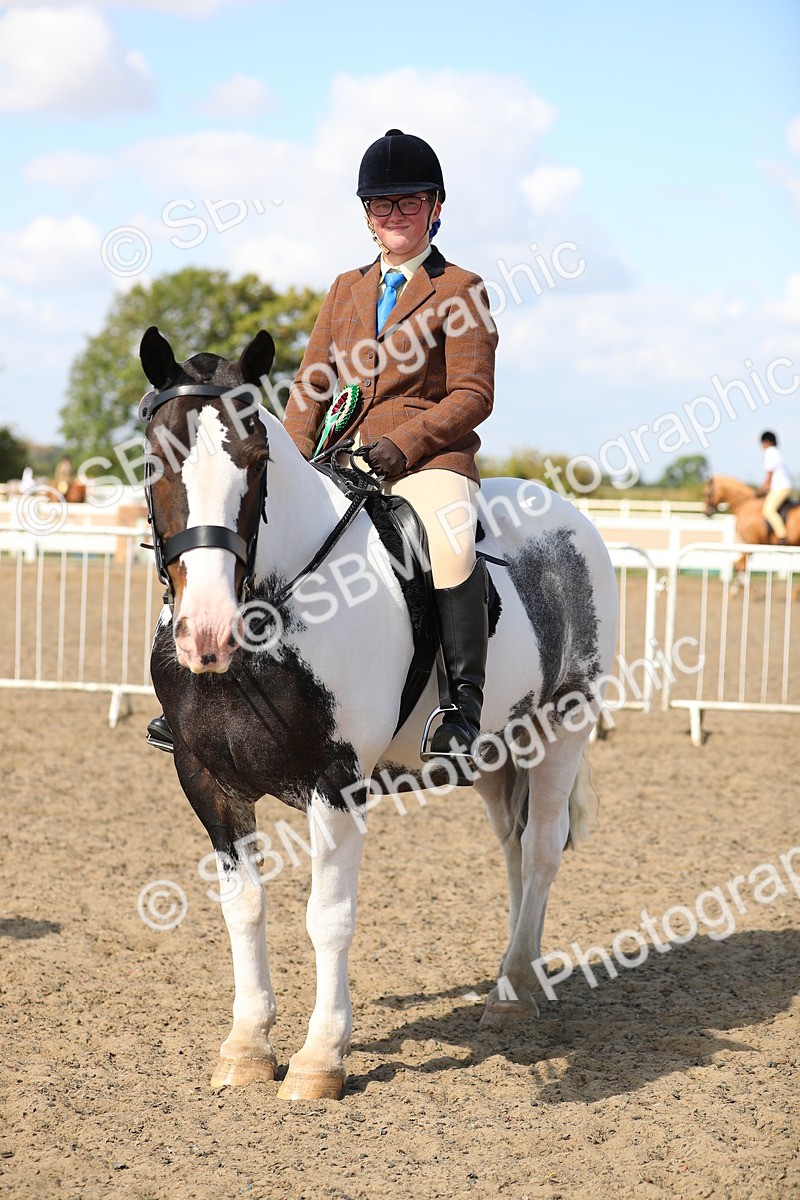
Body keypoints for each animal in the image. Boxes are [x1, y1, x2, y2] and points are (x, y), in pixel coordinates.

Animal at [139, 325, 619, 1102]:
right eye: (156, 459)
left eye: (256, 460)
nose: (205, 632)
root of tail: (565, 516)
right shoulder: (205, 778)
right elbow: (244, 906)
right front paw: (247, 1046)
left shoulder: (335, 782)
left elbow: (327, 918)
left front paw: (319, 1060)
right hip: (493, 752)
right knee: (514, 851)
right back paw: (518, 978)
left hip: (562, 728)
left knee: (543, 849)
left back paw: (514, 992)